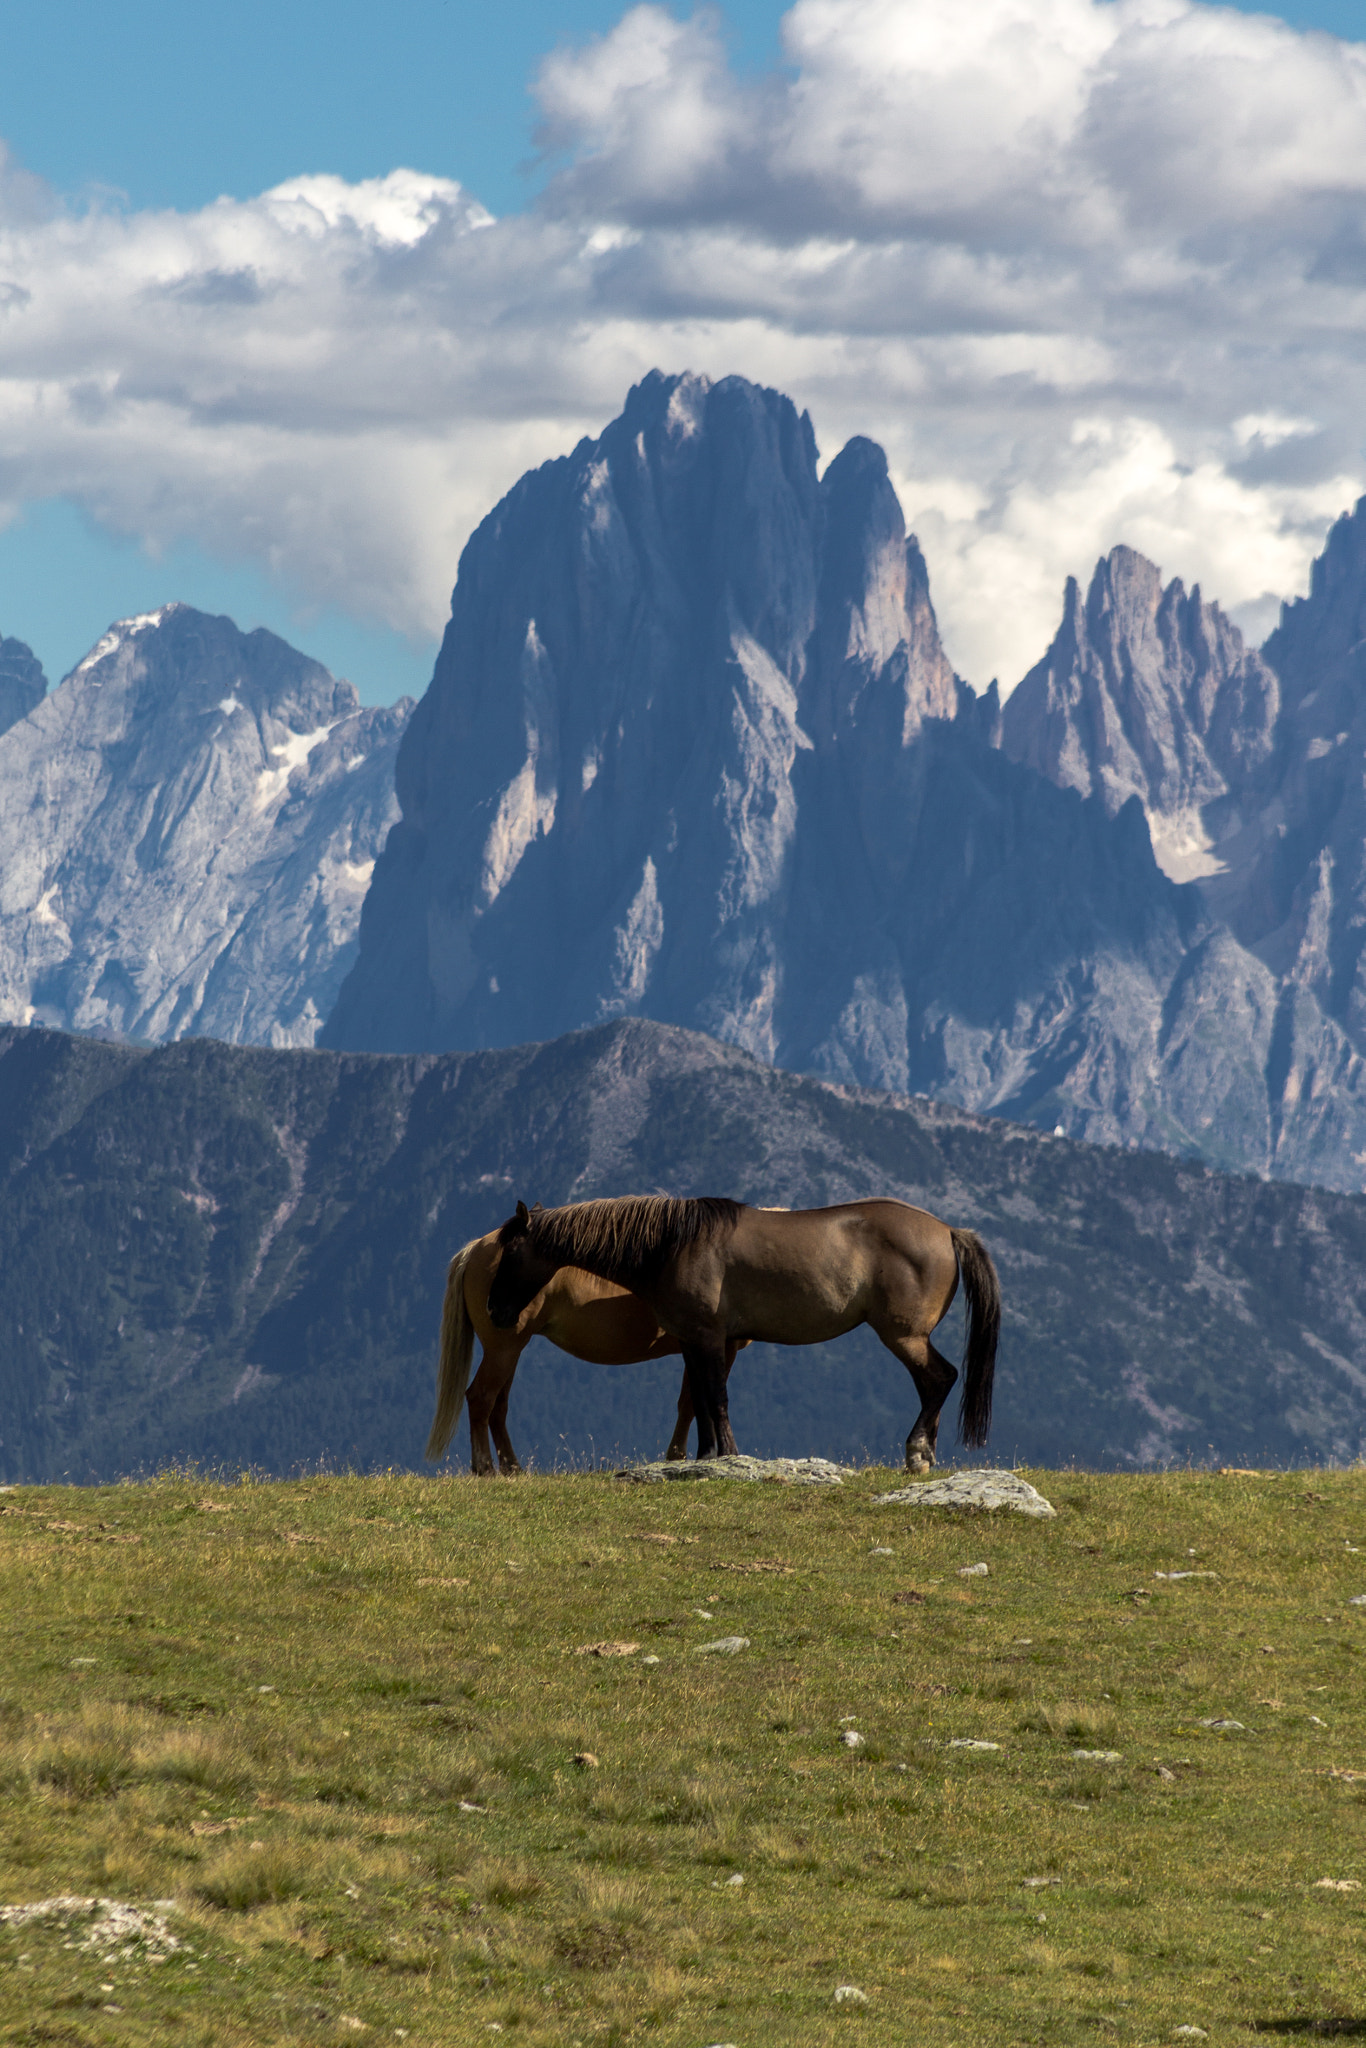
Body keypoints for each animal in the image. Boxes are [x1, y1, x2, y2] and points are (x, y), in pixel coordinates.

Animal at [425, 1225, 748, 1475]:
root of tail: (476, 1248)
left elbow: (689, 1402)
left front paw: (680, 1457)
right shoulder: (716, 1347)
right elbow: (697, 1401)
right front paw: (683, 1457)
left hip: (509, 1351)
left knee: (498, 1406)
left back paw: (512, 1467)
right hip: (502, 1350)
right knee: (480, 1398)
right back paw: (485, 1468)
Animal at [485, 1194, 1000, 1466]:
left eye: (509, 1253)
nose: (494, 1310)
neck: (672, 1246)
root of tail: (947, 1230)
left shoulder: (711, 1338)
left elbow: (716, 1399)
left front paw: (729, 1456)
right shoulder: (693, 1342)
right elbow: (700, 1402)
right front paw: (706, 1456)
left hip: (904, 1336)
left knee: (940, 1379)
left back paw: (917, 1450)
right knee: (935, 1383)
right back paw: (923, 1456)